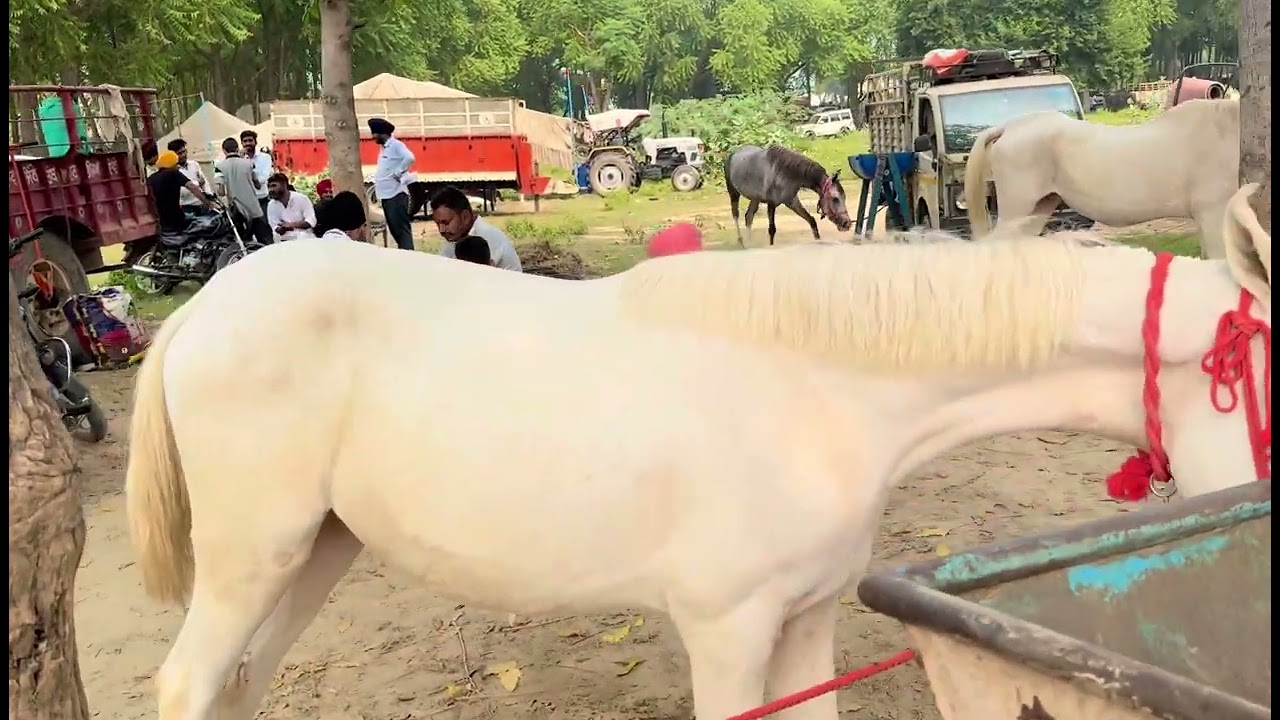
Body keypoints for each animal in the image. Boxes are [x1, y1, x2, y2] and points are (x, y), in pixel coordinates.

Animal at [126, 185, 1270, 720]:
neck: (818, 386)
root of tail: (205, 310)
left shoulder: (806, 620)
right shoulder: (726, 633)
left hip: (316, 552)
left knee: (238, 686)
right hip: (253, 559)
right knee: (187, 682)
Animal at [724, 144, 853, 247]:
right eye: (835, 199)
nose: (847, 223)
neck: (784, 172)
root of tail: (734, 153)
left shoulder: (791, 201)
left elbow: (811, 220)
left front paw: (818, 240)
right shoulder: (771, 204)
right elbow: (772, 230)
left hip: (755, 199)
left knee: (749, 216)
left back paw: (749, 243)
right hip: (734, 193)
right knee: (736, 214)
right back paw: (741, 241)